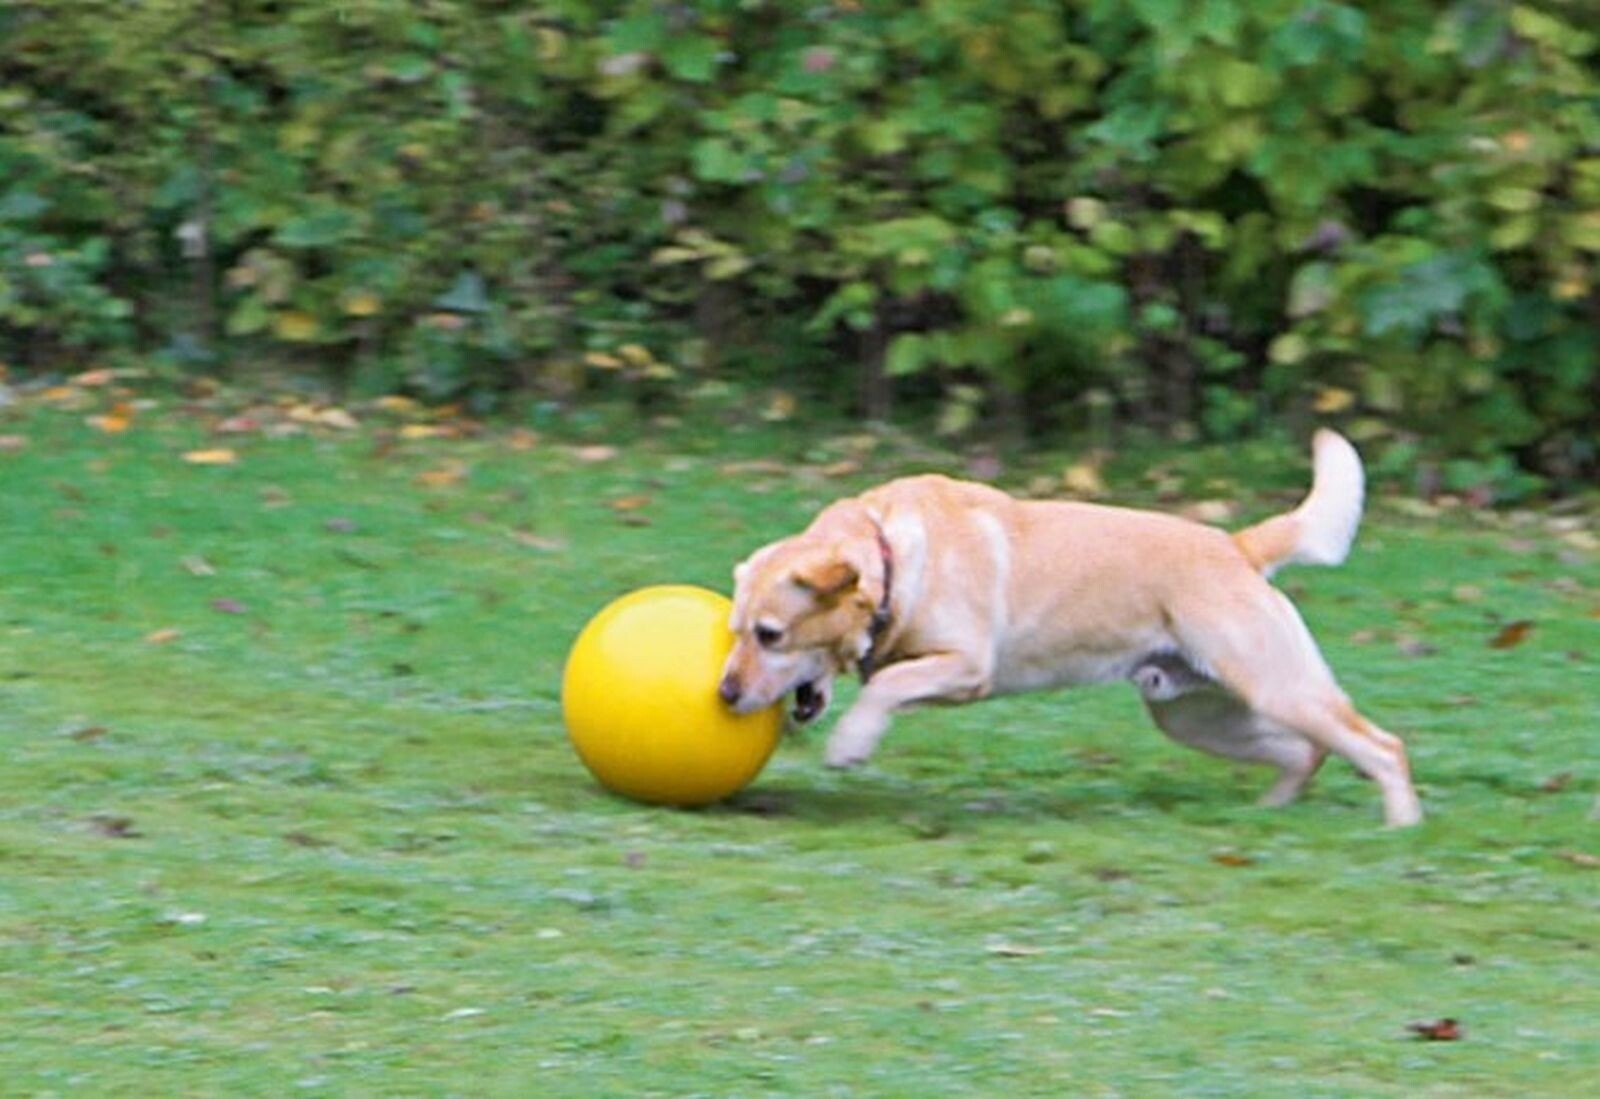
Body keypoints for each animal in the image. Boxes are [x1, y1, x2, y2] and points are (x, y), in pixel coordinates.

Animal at [720, 428, 1420, 825]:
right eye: (735, 630)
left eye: (770, 634)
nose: (724, 695)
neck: (894, 557)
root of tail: (1237, 545)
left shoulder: (966, 667)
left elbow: (886, 687)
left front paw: (851, 744)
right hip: (1191, 713)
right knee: (1309, 751)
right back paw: (1269, 814)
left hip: (1276, 687)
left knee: (1382, 746)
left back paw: (1402, 825)